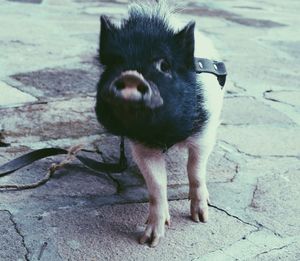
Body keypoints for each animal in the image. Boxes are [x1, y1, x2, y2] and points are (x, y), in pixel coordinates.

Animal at [95, 0, 224, 246]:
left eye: (164, 65)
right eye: (114, 63)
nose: (131, 76)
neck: (164, 134)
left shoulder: (204, 133)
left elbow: (195, 169)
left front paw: (200, 219)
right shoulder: (142, 146)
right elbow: (156, 185)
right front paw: (149, 240)